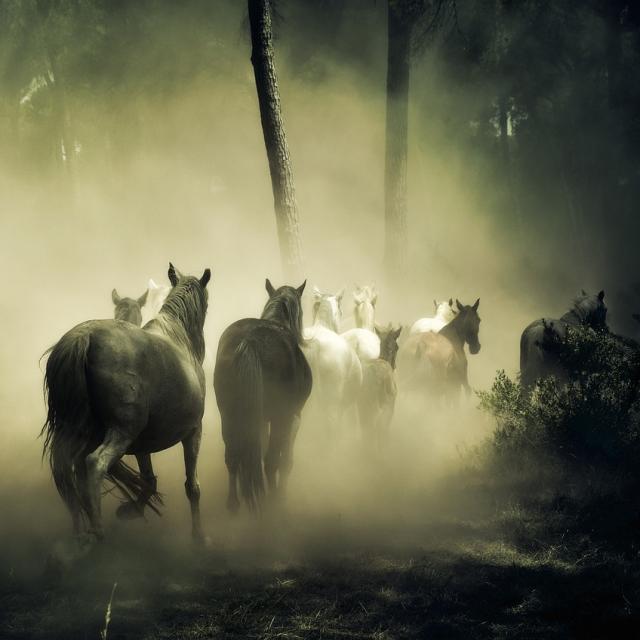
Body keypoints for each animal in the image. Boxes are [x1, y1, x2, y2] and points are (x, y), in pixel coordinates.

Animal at [41, 263, 211, 543]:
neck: (179, 338)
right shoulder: (193, 431)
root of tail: (83, 338)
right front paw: (200, 538)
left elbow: (148, 479)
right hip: (122, 432)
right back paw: (97, 532)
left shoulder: (143, 442)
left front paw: (130, 510)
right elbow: (192, 487)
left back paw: (80, 532)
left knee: (66, 471)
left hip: (83, 432)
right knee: (94, 464)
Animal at [213, 279, 312, 512]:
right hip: (279, 418)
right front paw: (281, 494)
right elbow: (285, 461)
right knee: (270, 461)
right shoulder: (293, 417)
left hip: (229, 414)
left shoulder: (258, 420)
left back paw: (234, 503)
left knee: (233, 456)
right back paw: (272, 503)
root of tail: (250, 341)